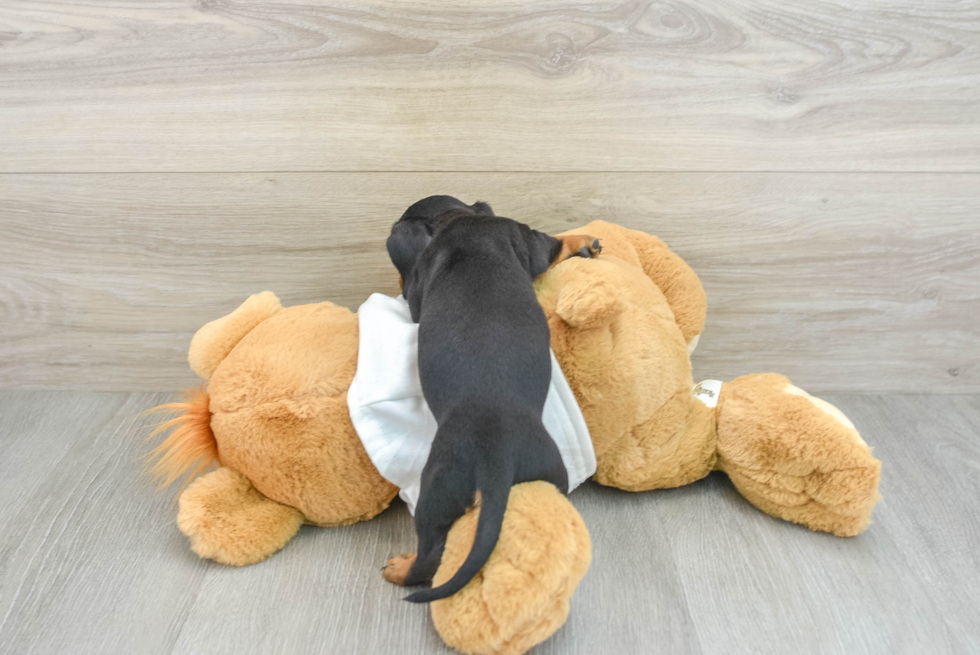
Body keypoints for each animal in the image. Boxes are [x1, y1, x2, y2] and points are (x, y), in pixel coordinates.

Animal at [380, 196, 596, 604]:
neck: (460, 221)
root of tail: (497, 459)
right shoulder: (525, 240)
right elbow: (552, 246)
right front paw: (583, 241)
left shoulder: (418, 292)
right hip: (550, 472)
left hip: (437, 488)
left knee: (430, 557)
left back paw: (401, 569)